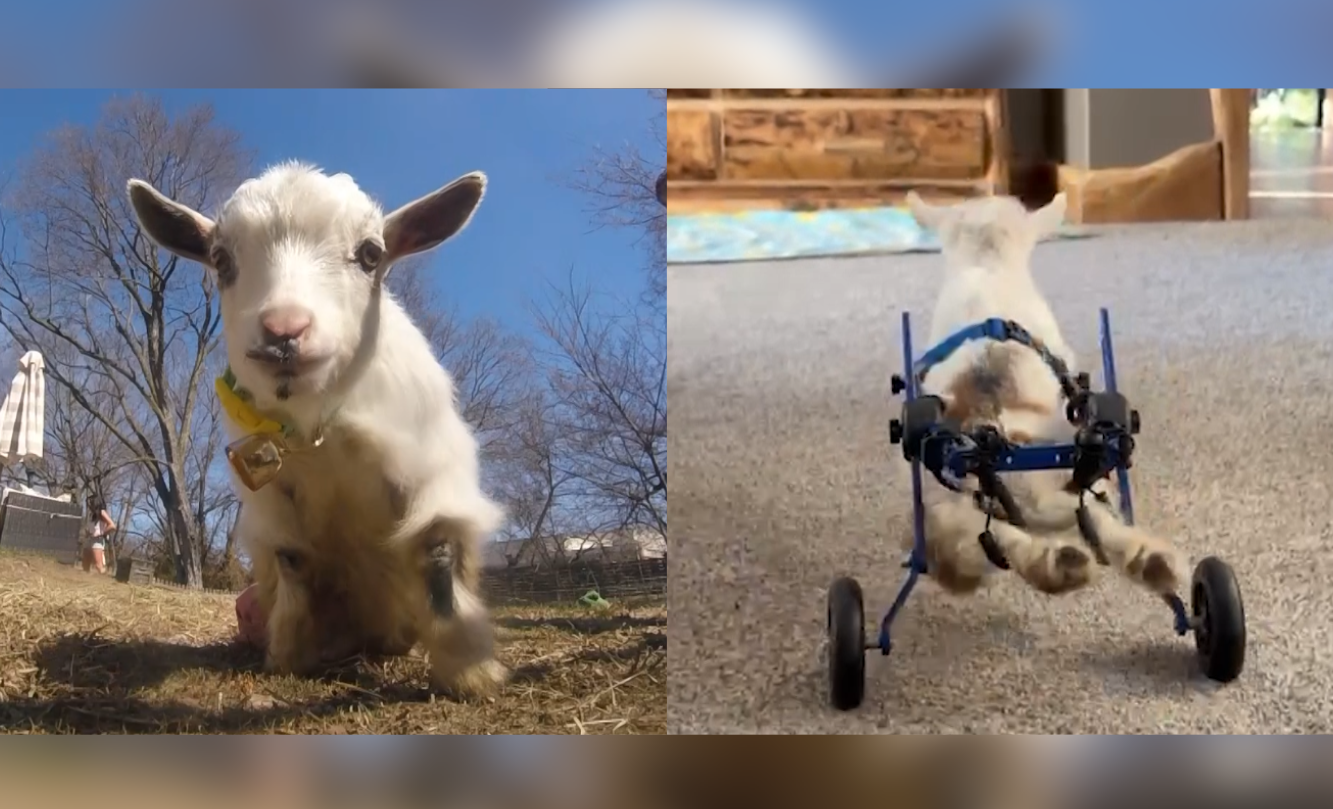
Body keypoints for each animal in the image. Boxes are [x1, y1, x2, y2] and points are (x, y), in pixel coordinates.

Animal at [127, 162, 507, 696]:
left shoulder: (432, 473)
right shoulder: (273, 500)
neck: (321, 429)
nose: (284, 332)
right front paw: (289, 654)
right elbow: (293, 561)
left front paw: (471, 671)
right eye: (220, 259)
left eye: (371, 254)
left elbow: (437, 555)